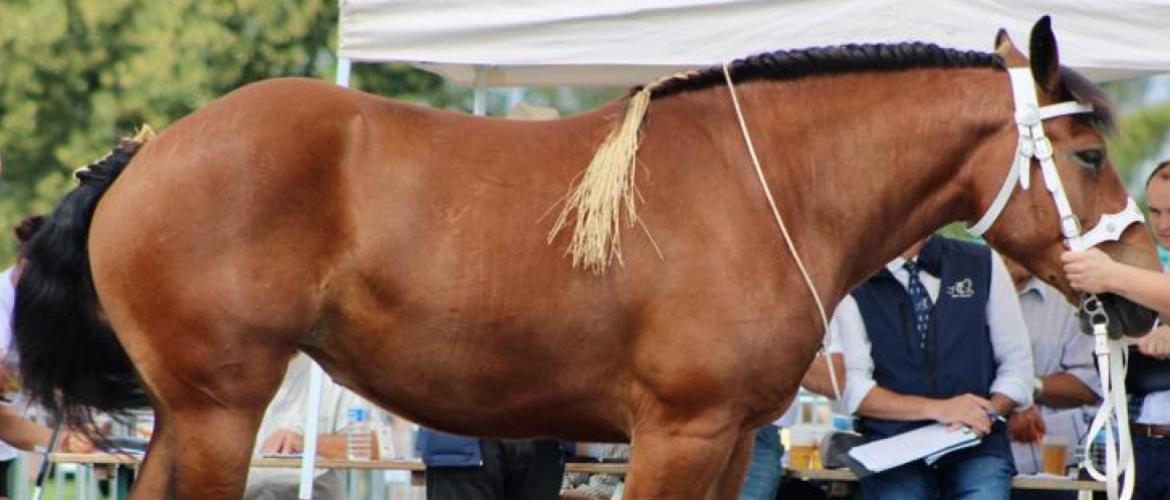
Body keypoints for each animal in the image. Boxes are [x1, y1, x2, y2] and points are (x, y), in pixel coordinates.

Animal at [13, 17, 1160, 499]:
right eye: (1087, 153)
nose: (1140, 300)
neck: (766, 187)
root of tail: (145, 152)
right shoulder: (679, 435)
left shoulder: (722, 446)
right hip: (221, 411)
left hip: (188, 415)